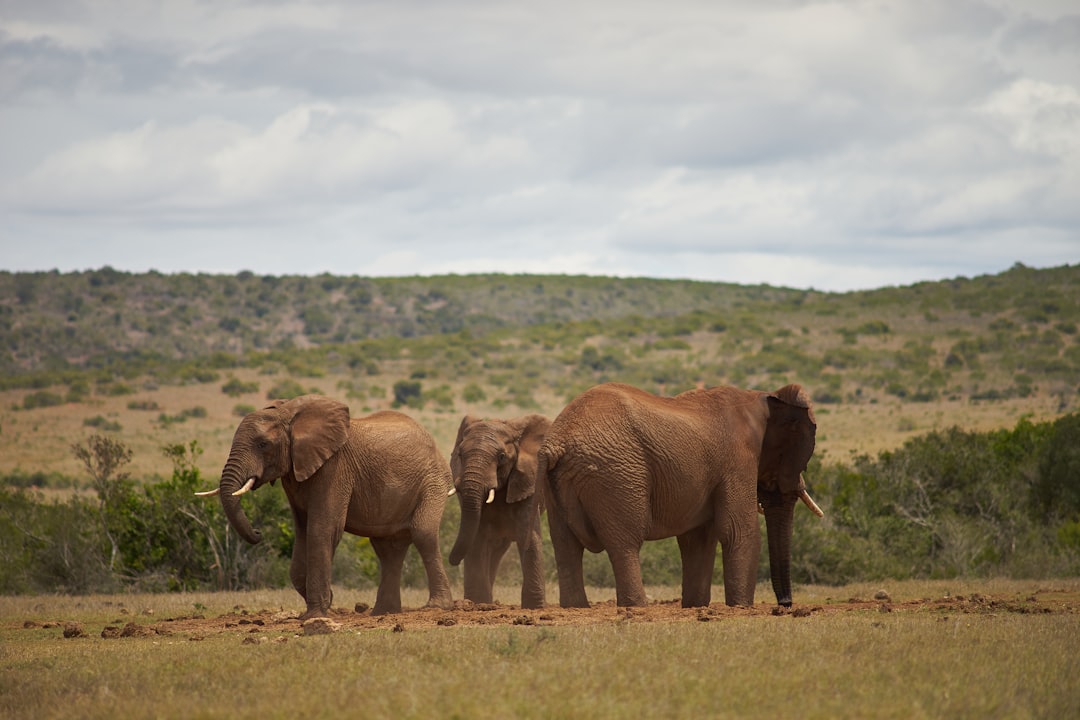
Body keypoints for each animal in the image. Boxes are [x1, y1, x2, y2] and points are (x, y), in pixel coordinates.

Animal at [196, 395, 453, 621]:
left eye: (263, 444)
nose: (258, 533)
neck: (290, 415)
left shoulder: (334, 467)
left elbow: (322, 530)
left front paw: (317, 613)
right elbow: (302, 532)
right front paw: (319, 605)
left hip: (433, 480)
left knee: (423, 533)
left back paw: (436, 607)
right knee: (388, 549)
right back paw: (383, 612)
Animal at [447, 414, 548, 613]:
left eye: (501, 457)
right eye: (460, 455)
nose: (451, 561)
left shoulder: (527, 482)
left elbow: (529, 538)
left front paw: (535, 608)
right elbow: (477, 539)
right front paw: (477, 603)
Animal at [535, 379, 820, 613]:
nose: (785, 604)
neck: (765, 398)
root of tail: (557, 441)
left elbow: (697, 540)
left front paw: (695, 606)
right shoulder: (738, 459)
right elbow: (738, 530)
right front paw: (740, 607)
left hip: (559, 483)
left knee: (565, 545)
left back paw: (576, 608)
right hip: (615, 473)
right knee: (625, 542)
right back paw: (636, 608)